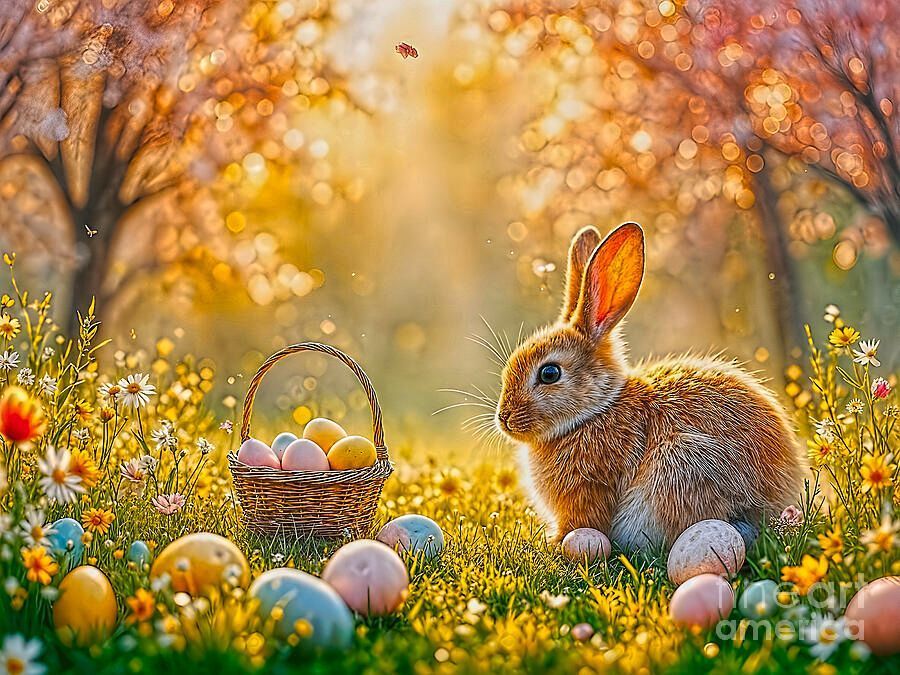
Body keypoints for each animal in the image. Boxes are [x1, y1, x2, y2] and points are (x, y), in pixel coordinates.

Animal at [495, 222, 805, 550]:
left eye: (549, 373)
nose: (504, 418)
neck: (595, 411)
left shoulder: (592, 488)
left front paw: (554, 544)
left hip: (682, 464)